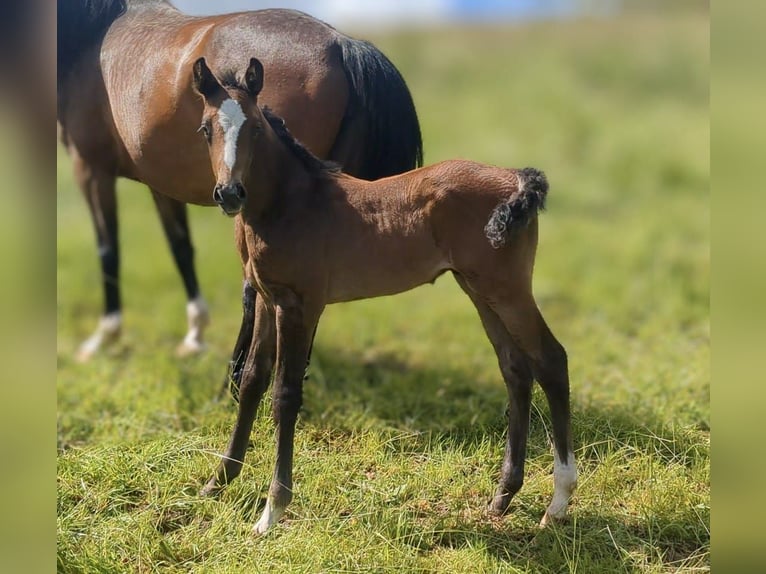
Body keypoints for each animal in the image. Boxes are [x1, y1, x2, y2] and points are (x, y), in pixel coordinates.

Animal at [57, 0, 424, 360]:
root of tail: (341, 44)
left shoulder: (90, 168)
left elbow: (108, 248)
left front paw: (105, 337)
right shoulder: (160, 180)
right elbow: (180, 247)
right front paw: (194, 336)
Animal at [192, 58, 576, 536]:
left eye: (257, 130)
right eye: (206, 129)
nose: (229, 194)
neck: (291, 202)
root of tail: (516, 178)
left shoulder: (300, 305)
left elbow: (285, 394)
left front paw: (271, 510)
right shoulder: (265, 298)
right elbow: (251, 381)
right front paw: (218, 481)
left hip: (507, 289)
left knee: (551, 360)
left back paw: (558, 502)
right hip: (478, 288)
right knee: (516, 369)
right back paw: (502, 497)